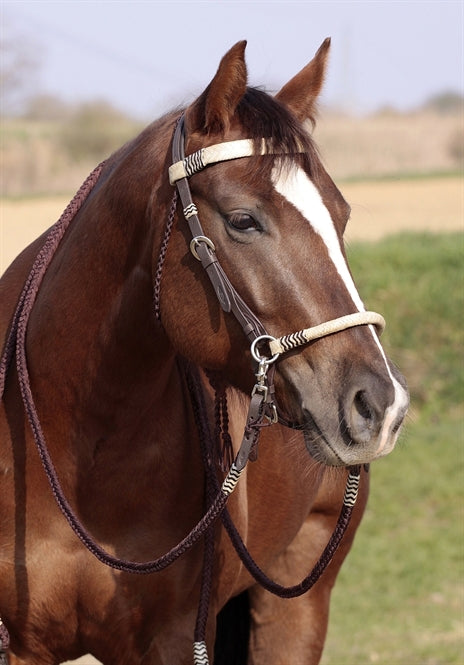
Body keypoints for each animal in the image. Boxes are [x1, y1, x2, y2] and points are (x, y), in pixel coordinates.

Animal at [0, 39, 408, 660]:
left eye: (341, 216)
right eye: (243, 220)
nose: (380, 406)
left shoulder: (173, 639)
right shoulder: (21, 647)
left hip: (299, 604)